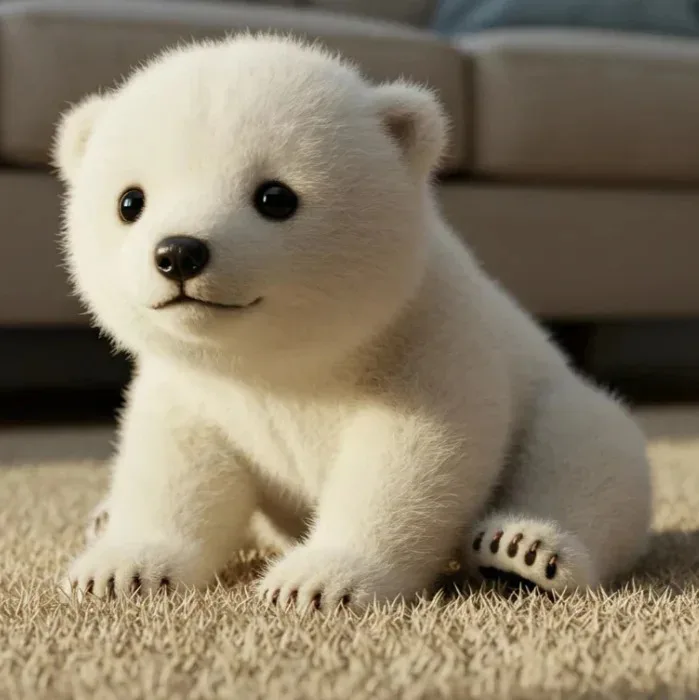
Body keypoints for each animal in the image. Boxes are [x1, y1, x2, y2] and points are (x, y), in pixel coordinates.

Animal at [53, 34, 652, 611]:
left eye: (275, 196)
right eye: (130, 201)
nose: (179, 253)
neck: (282, 364)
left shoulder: (423, 335)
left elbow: (410, 458)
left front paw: (316, 581)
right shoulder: (195, 386)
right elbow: (177, 462)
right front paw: (121, 569)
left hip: (550, 398)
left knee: (588, 450)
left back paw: (523, 552)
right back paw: (103, 517)